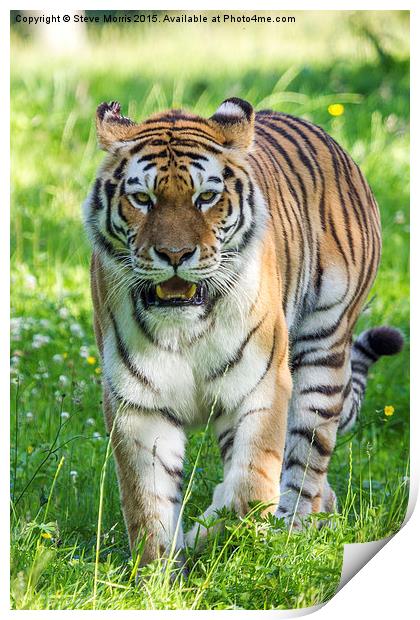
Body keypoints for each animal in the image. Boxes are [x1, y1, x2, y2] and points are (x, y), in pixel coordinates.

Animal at [83, 95, 404, 568]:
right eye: (142, 198)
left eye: (206, 197)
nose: (175, 254)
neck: (186, 327)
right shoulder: (139, 404)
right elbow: (147, 503)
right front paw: (159, 574)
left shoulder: (260, 386)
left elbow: (249, 491)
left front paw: (210, 537)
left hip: (324, 350)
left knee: (306, 462)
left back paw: (293, 530)